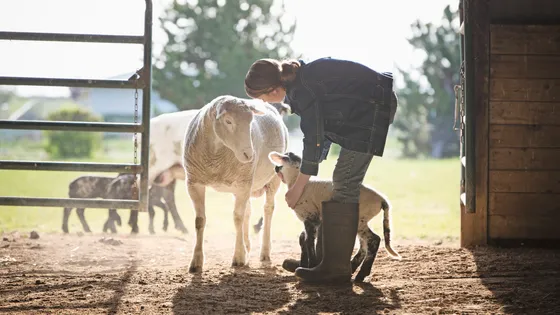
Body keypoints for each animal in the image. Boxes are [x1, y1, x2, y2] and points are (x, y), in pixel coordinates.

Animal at [270, 152, 400, 282]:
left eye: (285, 159)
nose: (275, 167)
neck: (297, 182)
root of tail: (382, 200)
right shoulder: (316, 220)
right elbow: (303, 238)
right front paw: (304, 264)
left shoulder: (310, 216)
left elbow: (308, 241)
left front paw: (309, 266)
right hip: (362, 220)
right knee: (364, 244)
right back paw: (352, 268)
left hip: (361, 218)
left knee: (374, 239)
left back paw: (361, 274)